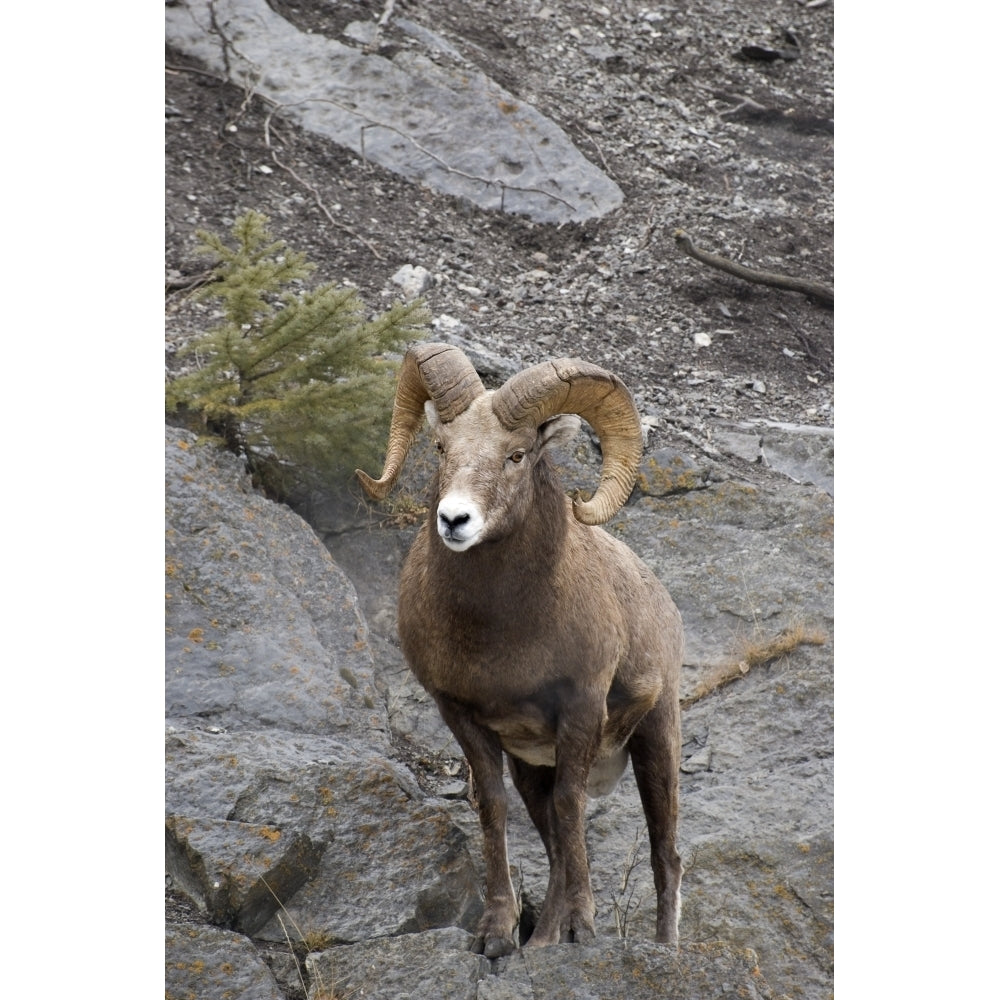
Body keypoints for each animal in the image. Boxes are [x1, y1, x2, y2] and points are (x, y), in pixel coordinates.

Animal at [356, 346, 684, 960]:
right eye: (442, 447)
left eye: (516, 454)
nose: (454, 520)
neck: (503, 634)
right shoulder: (463, 716)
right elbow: (495, 809)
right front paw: (497, 935)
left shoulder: (580, 710)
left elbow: (571, 810)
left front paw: (581, 929)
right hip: (534, 766)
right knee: (553, 840)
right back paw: (543, 939)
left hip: (658, 734)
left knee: (664, 853)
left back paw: (663, 947)